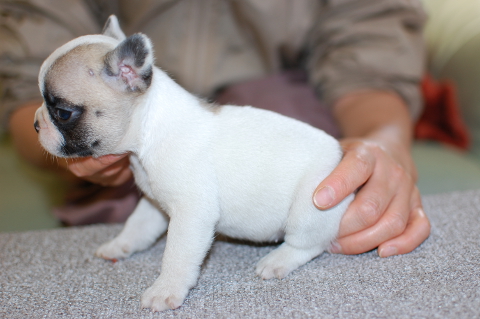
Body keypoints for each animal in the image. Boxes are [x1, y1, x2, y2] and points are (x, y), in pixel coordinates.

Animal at [33, 16, 354, 314]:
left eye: (62, 113)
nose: (36, 124)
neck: (148, 131)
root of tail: (339, 155)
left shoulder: (191, 214)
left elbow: (176, 255)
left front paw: (165, 290)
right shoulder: (153, 203)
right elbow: (137, 226)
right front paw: (121, 245)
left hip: (310, 206)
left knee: (307, 244)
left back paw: (278, 260)